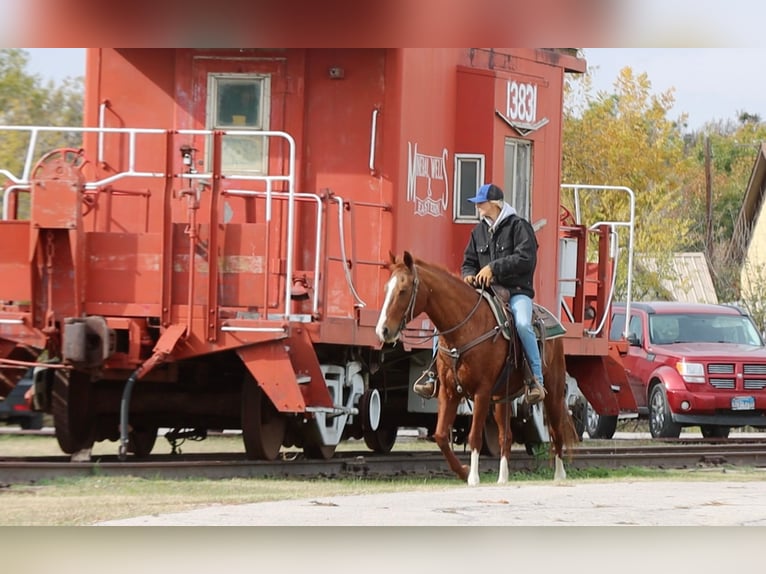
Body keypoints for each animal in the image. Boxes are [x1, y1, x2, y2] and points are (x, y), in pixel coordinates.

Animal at [375, 251, 577, 485]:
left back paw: (560, 475)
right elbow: (441, 435)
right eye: (386, 289)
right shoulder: (448, 392)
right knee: (506, 436)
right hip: (502, 399)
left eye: (403, 290)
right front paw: (462, 471)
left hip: (553, 390)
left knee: (556, 431)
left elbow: (474, 436)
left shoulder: (482, 392)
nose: (383, 330)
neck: (465, 329)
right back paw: (503, 477)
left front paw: (473, 476)